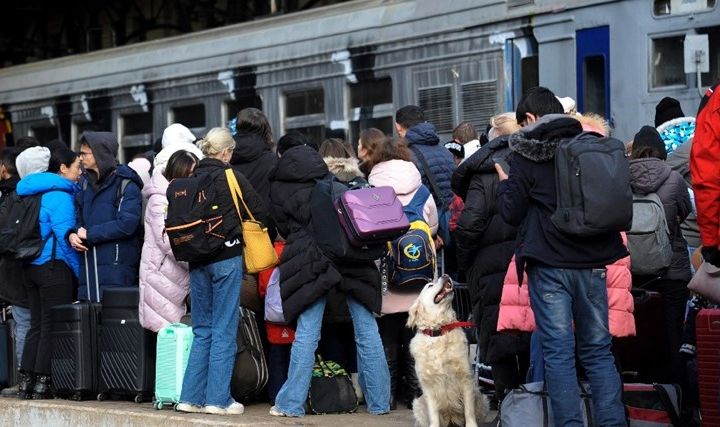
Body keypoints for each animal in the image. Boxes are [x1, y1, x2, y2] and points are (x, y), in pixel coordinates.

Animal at [407, 274, 488, 427]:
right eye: (430, 286)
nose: (445, 275)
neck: (439, 330)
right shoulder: (428, 385)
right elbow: (433, 414)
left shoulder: (465, 378)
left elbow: (469, 410)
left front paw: (471, 424)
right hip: (418, 404)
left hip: (482, 398)